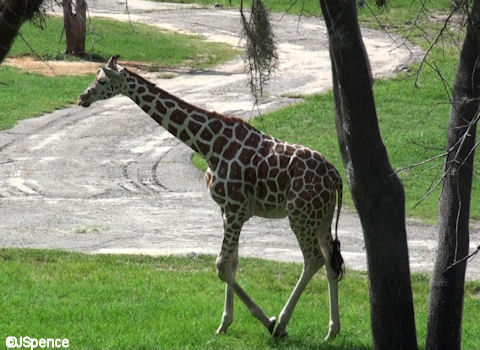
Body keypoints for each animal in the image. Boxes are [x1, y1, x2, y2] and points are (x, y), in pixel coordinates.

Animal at [78, 56, 344, 340]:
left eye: (101, 80)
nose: (82, 97)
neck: (208, 146)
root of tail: (336, 177)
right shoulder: (227, 210)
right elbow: (233, 264)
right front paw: (224, 324)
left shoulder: (236, 208)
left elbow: (221, 265)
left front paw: (267, 321)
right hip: (321, 217)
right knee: (330, 263)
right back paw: (332, 331)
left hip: (300, 215)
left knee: (313, 259)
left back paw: (282, 324)